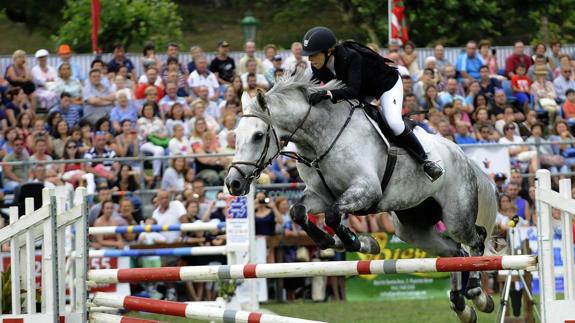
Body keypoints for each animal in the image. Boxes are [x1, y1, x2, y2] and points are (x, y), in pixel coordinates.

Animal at [225, 73, 500, 323]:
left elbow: (333, 216)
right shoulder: (320, 195)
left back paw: (478, 295)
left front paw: (361, 243)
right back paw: (461, 307)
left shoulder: (366, 190)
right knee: (454, 252)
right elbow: (299, 212)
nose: (233, 183)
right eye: (235, 135)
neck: (321, 137)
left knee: (476, 240)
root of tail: (462, 155)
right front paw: (335, 241)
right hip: (412, 228)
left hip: (456, 216)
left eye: (258, 136)